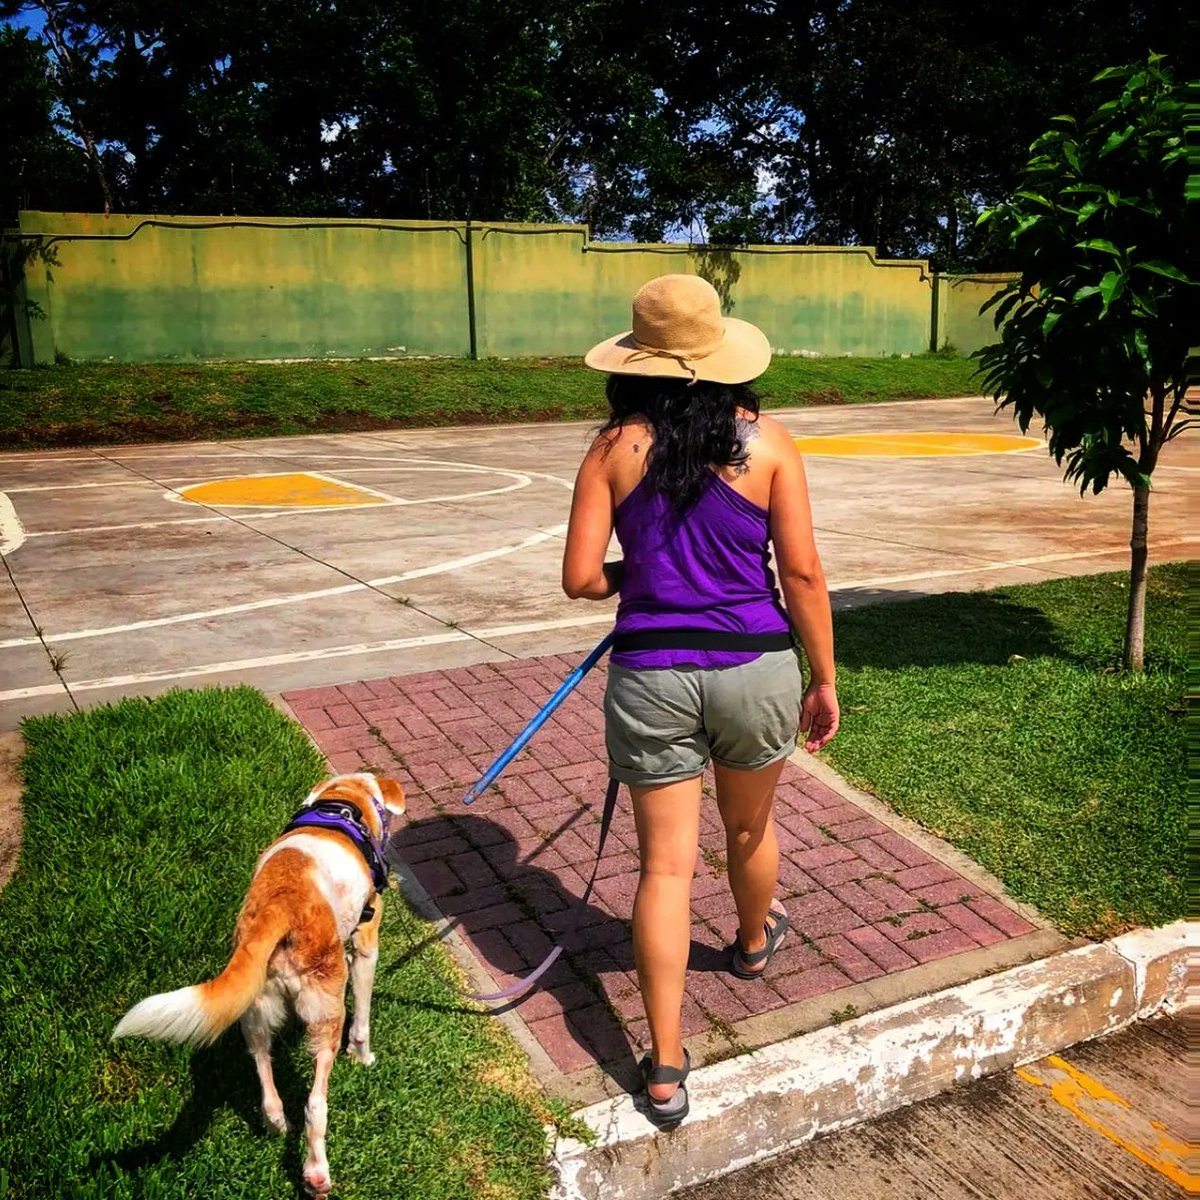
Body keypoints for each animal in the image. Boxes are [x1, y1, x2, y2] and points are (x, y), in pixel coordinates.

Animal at [115, 772, 410, 1195]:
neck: (343, 801)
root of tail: (279, 904)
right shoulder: (367, 942)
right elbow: (364, 1017)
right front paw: (363, 1057)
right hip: (325, 1012)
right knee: (314, 1105)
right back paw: (316, 1174)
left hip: (256, 1008)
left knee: (263, 1072)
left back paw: (275, 1124)